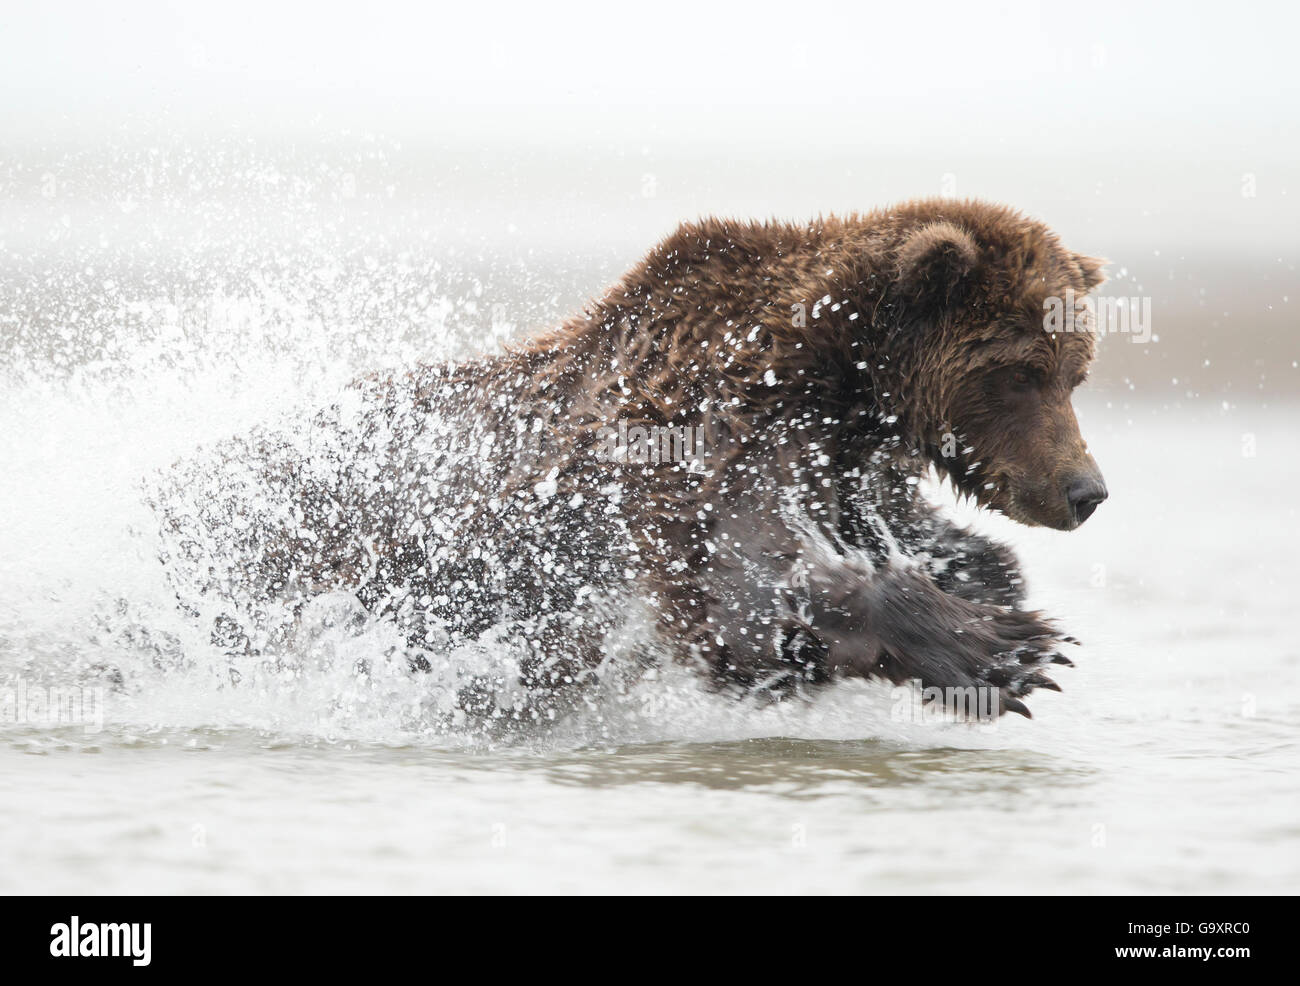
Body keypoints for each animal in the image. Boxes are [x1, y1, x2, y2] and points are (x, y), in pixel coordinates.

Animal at [152, 200, 1107, 728]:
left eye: (1075, 370)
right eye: (1021, 371)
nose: (1085, 490)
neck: (834, 376)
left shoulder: (835, 463)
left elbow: (907, 537)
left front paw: (995, 589)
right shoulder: (700, 444)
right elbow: (742, 602)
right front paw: (1004, 650)